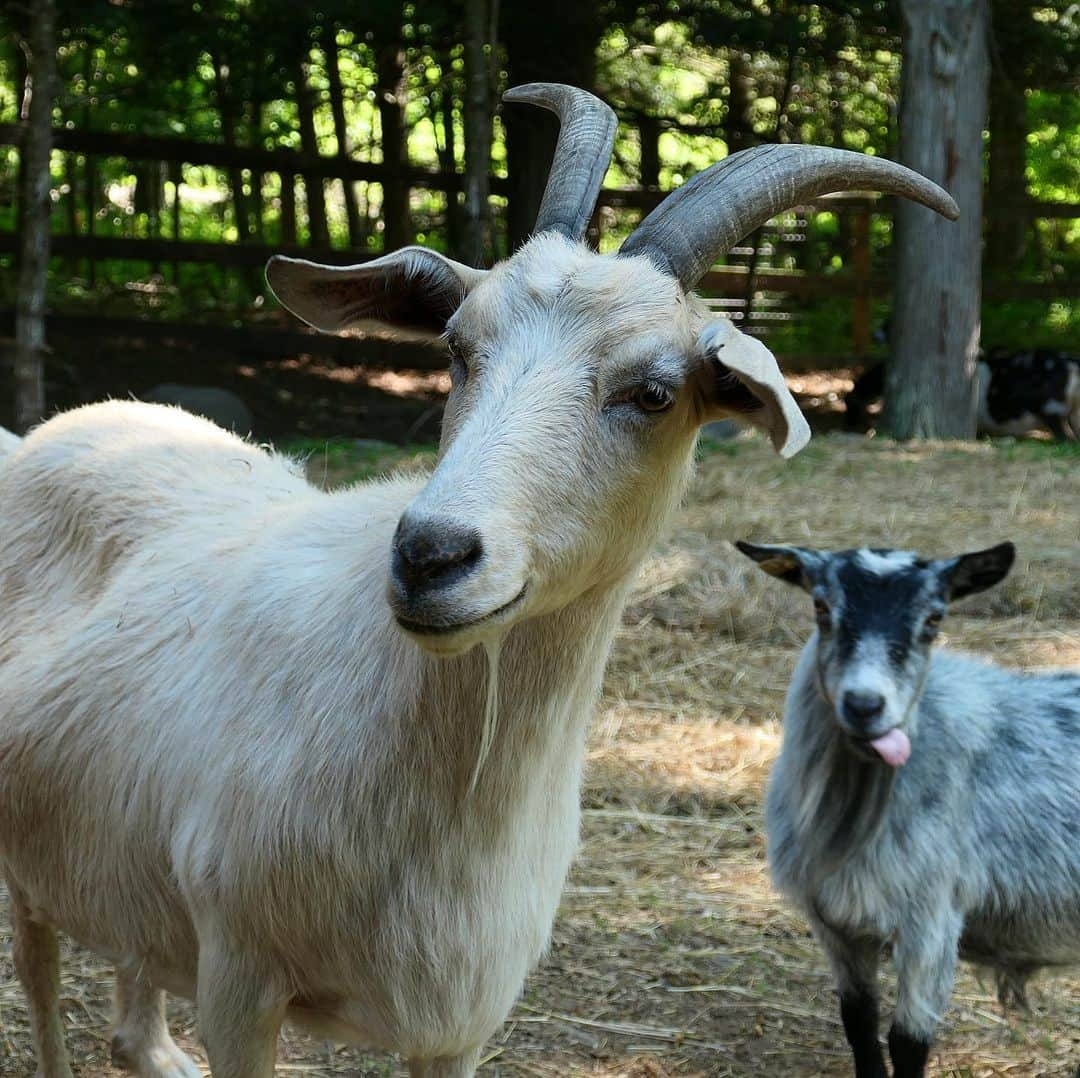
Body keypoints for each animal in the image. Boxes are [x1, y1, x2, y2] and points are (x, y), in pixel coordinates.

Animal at [0, 86, 959, 1078]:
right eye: (458, 348)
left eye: (655, 392)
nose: (430, 555)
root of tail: (52, 431)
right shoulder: (238, 980)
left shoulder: (460, 1021)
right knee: (37, 973)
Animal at [738, 544, 1080, 1075]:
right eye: (820, 606)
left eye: (935, 618)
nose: (864, 705)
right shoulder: (836, 926)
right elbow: (859, 1023)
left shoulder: (933, 922)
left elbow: (908, 1042)